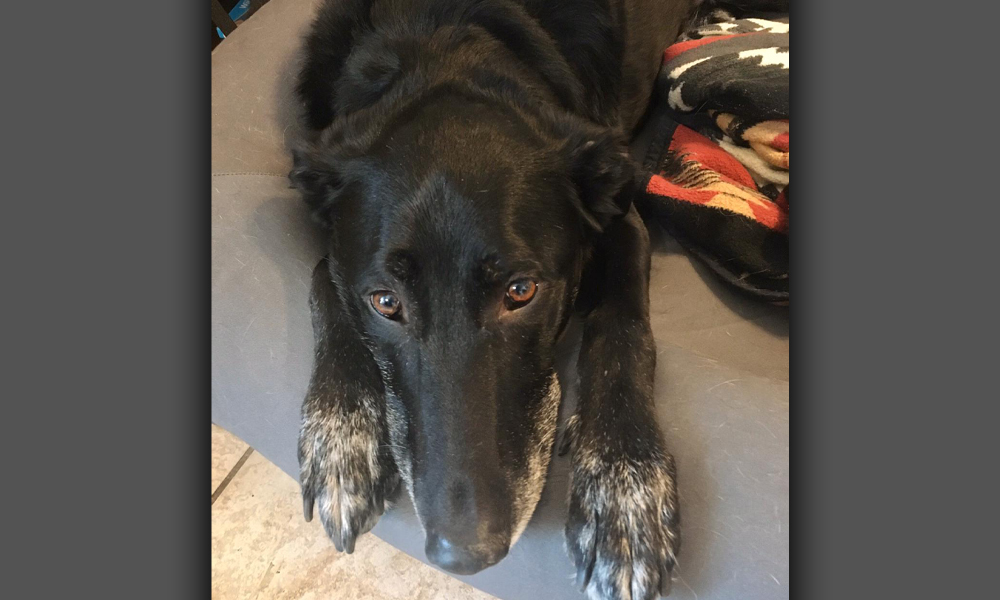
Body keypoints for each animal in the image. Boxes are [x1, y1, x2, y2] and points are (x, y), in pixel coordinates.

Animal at [292, 1, 708, 600]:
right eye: (385, 302)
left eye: (520, 291)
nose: (465, 556)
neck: (440, 40)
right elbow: (323, 274)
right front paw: (342, 427)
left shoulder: (623, 219)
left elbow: (623, 329)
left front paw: (622, 481)